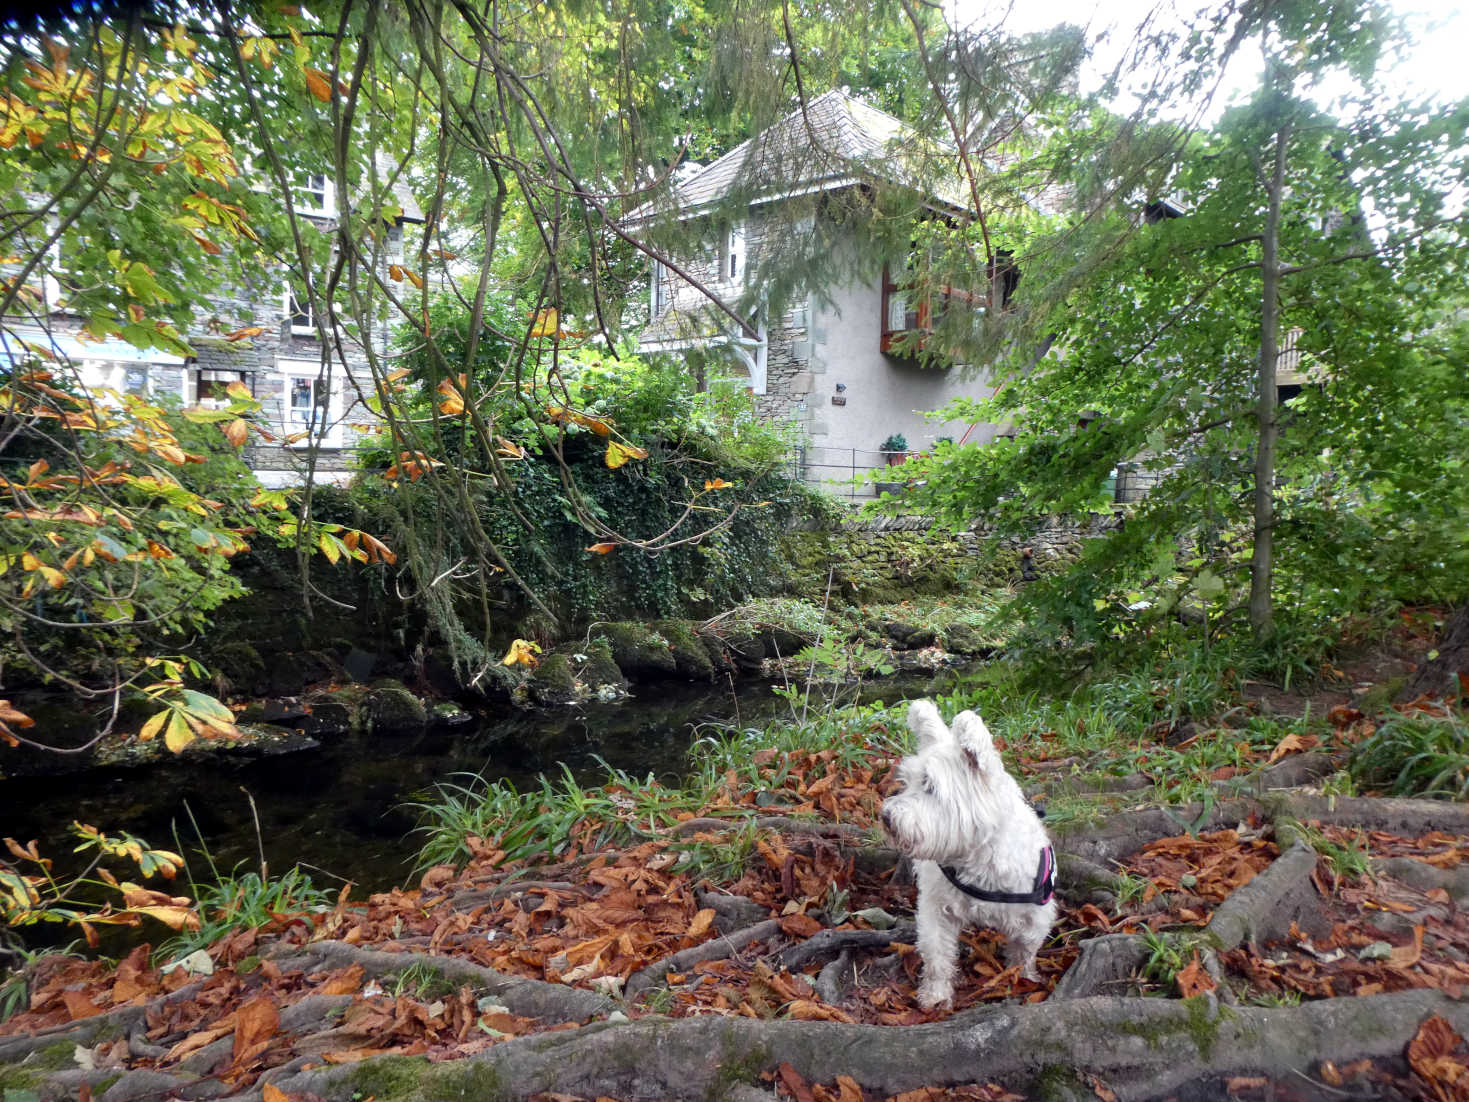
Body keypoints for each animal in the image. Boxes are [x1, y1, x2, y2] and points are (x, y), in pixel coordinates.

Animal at [881, 699, 1057, 1010]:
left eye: (930, 787)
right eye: (907, 781)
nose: (886, 817)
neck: (977, 857)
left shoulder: (1036, 916)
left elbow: (1024, 952)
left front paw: (1026, 979)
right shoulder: (936, 910)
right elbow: (937, 957)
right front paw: (935, 996)